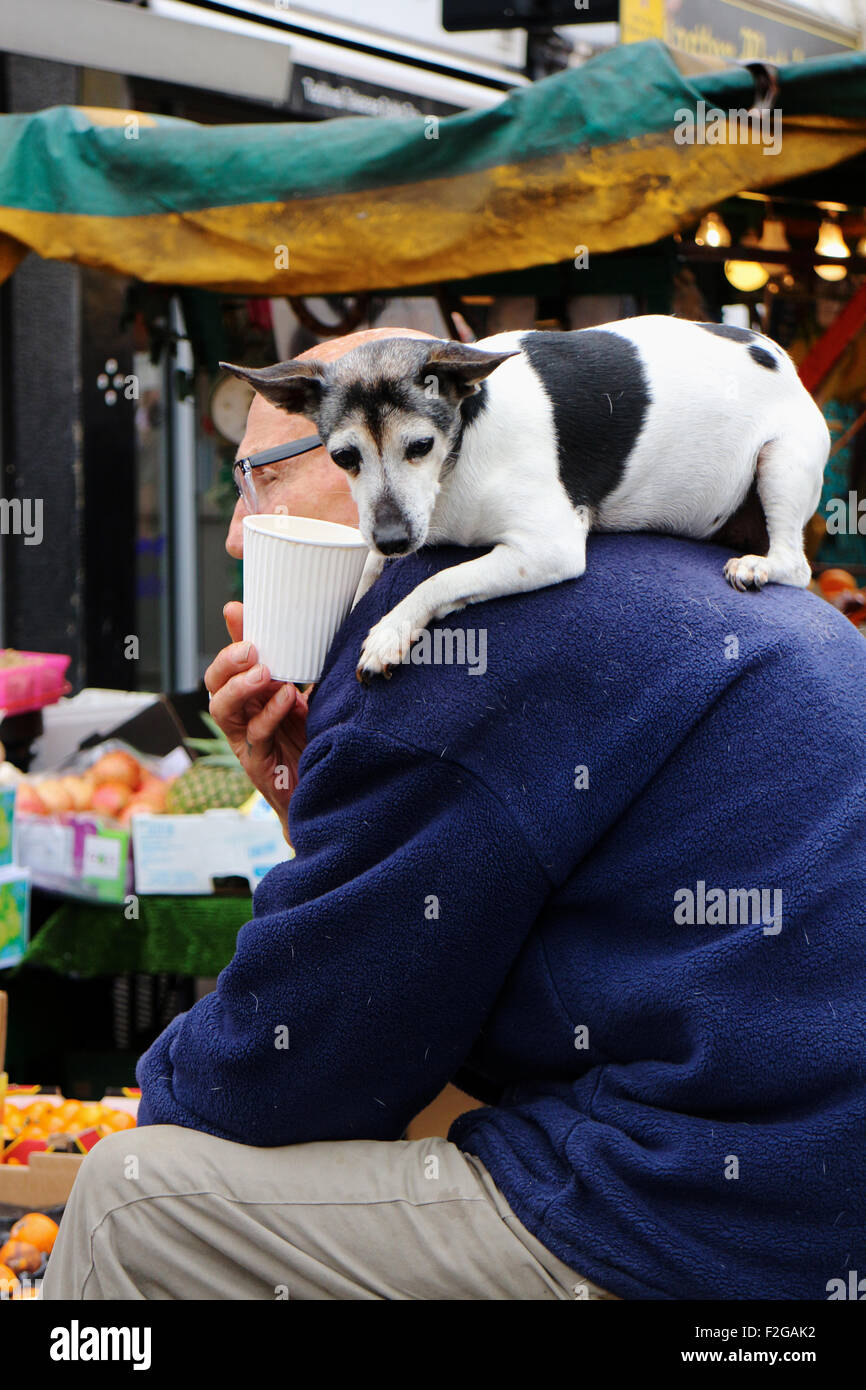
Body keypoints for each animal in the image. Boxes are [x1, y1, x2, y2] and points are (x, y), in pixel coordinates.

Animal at [223, 316, 834, 683]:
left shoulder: (548, 549)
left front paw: (391, 630)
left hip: (781, 462)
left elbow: (438, 580)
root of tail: (774, 349)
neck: (462, 445)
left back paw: (760, 566)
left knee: (796, 564)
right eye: (344, 458)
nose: (394, 539)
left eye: (419, 446)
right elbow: (370, 576)